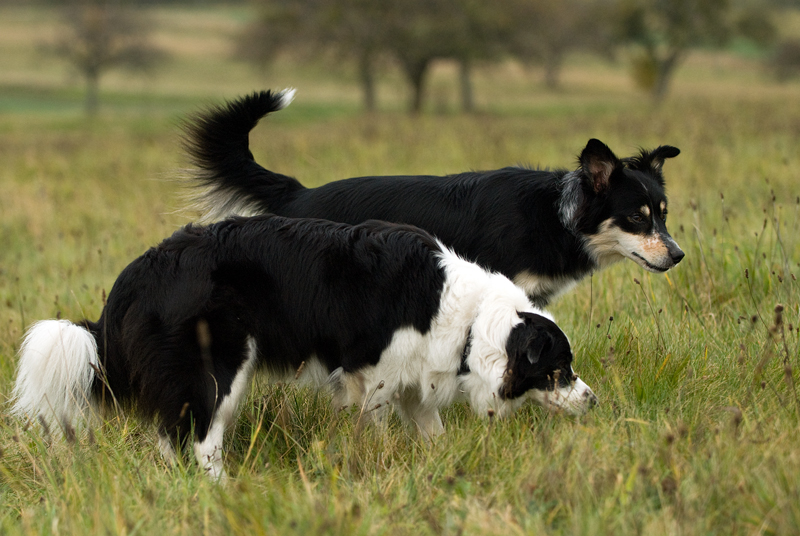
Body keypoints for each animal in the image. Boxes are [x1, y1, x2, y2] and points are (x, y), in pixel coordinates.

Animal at [10, 216, 592, 480]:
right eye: (560, 367)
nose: (594, 399)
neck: (471, 320)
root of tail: (138, 273)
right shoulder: (373, 376)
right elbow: (374, 426)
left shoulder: (413, 378)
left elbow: (432, 430)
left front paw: (441, 463)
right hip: (220, 366)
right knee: (200, 437)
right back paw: (223, 488)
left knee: (170, 435)